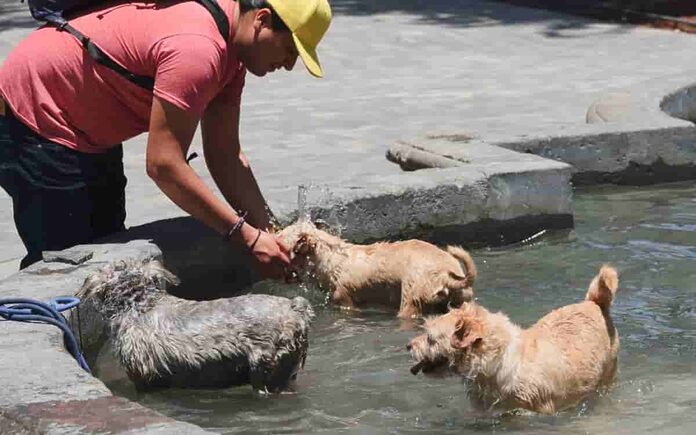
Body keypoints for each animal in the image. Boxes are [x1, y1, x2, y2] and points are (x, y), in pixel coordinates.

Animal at [280, 221, 476, 320]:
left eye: (280, 239)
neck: (333, 259)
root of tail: (447, 275)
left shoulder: (345, 300)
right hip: (462, 298)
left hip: (412, 295)